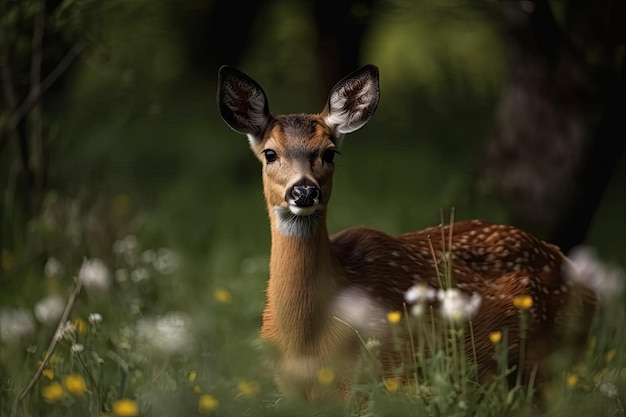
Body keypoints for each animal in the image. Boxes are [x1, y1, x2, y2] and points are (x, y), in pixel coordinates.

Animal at [216, 63, 596, 398]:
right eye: (270, 153)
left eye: (330, 153)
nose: (305, 191)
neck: (306, 341)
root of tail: (570, 265)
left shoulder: (387, 377)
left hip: (554, 359)